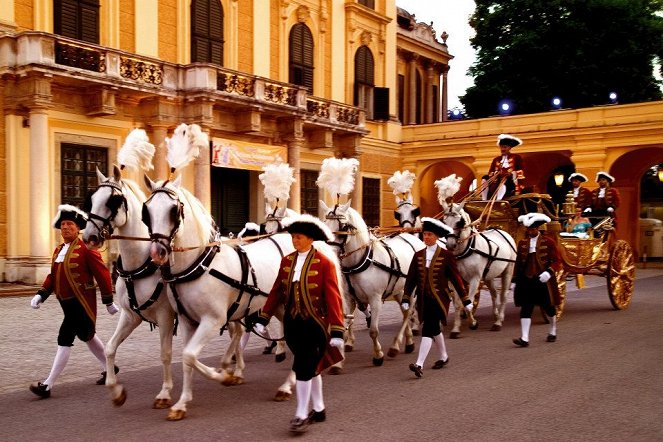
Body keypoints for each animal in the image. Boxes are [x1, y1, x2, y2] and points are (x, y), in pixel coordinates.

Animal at [82, 167, 176, 410]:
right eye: (92, 199)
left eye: (113, 201)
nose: (89, 237)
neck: (140, 265)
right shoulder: (130, 315)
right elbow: (109, 348)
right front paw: (115, 390)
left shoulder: (165, 316)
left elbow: (165, 354)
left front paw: (165, 392)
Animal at [320, 200, 422, 366]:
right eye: (324, 224)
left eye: (344, 227)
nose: (328, 252)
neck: (360, 261)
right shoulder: (348, 299)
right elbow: (346, 325)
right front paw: (339, 360)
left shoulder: (375, 299)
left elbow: (373, 330)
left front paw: (378, 355)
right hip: (399, 290)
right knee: (405, 311)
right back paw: (408, 342)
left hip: (411, 291)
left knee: (408, 314)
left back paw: (395, 345)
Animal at [440, 203, 520, 334]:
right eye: (444, 222)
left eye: (459, 222)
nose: (450, 245)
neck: (467, 249)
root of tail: (503, 232)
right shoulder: (456, 279)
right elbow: (458, 304)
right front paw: (456, 328)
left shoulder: (475, 279)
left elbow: (470, 302)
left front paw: (473, 323)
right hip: (489, 275)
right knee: (494, 293)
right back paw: (496, 316)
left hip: (508, 270)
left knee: (503, 295)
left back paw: (498, 322)